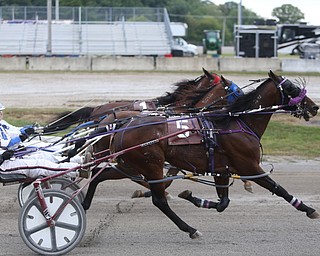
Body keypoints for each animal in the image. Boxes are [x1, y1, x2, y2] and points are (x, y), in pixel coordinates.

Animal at [83, 69, 320, 238]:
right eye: (291, 88)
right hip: (151, 164)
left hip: (130, 163)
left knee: (100, 175)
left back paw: (84, 205)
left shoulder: (222, 169)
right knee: (159, 200)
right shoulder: (248, 165)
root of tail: (121, 126)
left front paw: (192, 197)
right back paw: (190, 229)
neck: (238, 121)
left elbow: (223, 203)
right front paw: (308, 209)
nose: (314, 107)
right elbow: (278, 189)